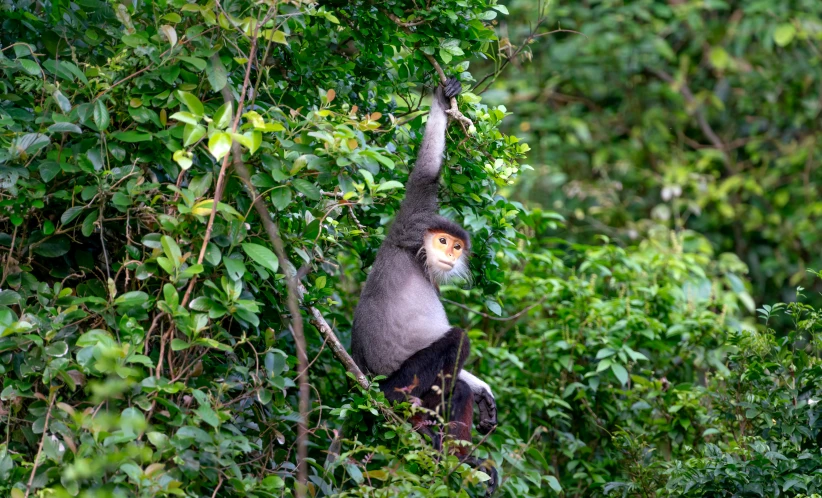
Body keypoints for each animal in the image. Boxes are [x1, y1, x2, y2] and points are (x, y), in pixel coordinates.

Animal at [350, 77, 498, 490]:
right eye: (443, 241)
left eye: (457, 246)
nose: (450, 253)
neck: (421, 258)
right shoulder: (412, 225)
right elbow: (425, 175)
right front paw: (441, 98)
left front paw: (484, 390)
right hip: (397, 384)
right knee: (456, 340)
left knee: (457, 386)